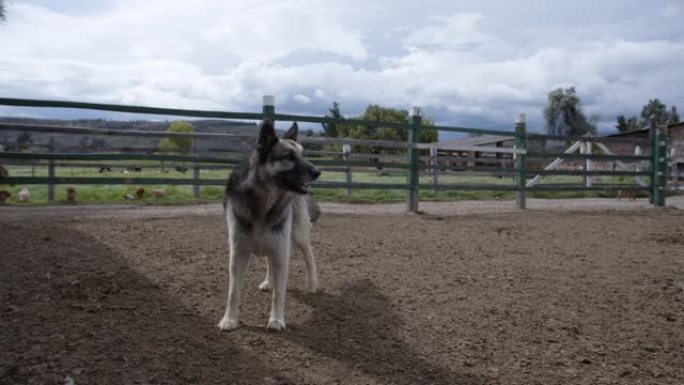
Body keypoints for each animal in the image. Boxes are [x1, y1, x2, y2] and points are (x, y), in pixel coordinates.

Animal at [219, 119, 324, 330]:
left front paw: (276, 320)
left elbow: (279, 294)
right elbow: (233, 292)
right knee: (269, 261)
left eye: (303, 155)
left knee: (309, 256)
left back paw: (312, 284)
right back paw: (270, 281)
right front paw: (229, 319)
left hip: (297, 236)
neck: (263, 200)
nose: (318, 172)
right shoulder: (238, 254)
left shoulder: (281, 251)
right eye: (288, 156)